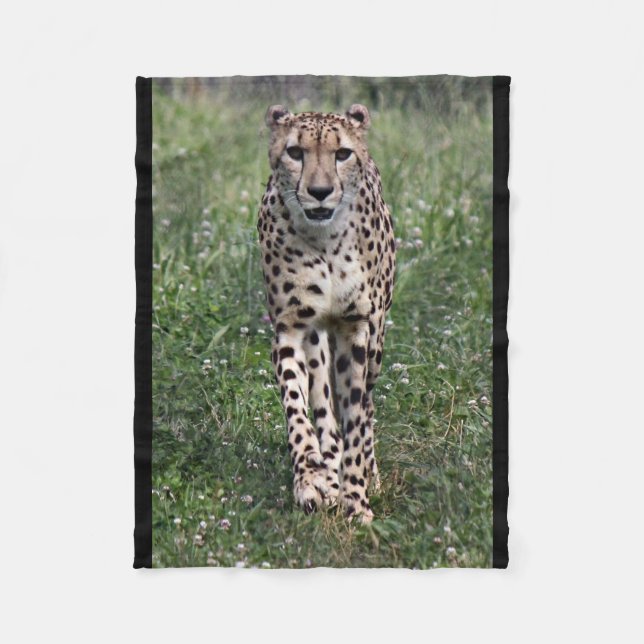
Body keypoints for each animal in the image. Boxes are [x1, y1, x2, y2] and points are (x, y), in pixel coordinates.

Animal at [257, 103, 396, 524]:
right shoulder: (291, 328)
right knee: (323, 406)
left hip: (376, 342)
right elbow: (297, 408)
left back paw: (367, 477)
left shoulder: (356, 329)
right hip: (319, 339)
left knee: (366, 407)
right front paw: (311, 479)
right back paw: (327, 476)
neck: (325, 241)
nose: (319, 192)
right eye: (295, 152)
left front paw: (357, 499)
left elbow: (356, 418)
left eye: (342, 154)